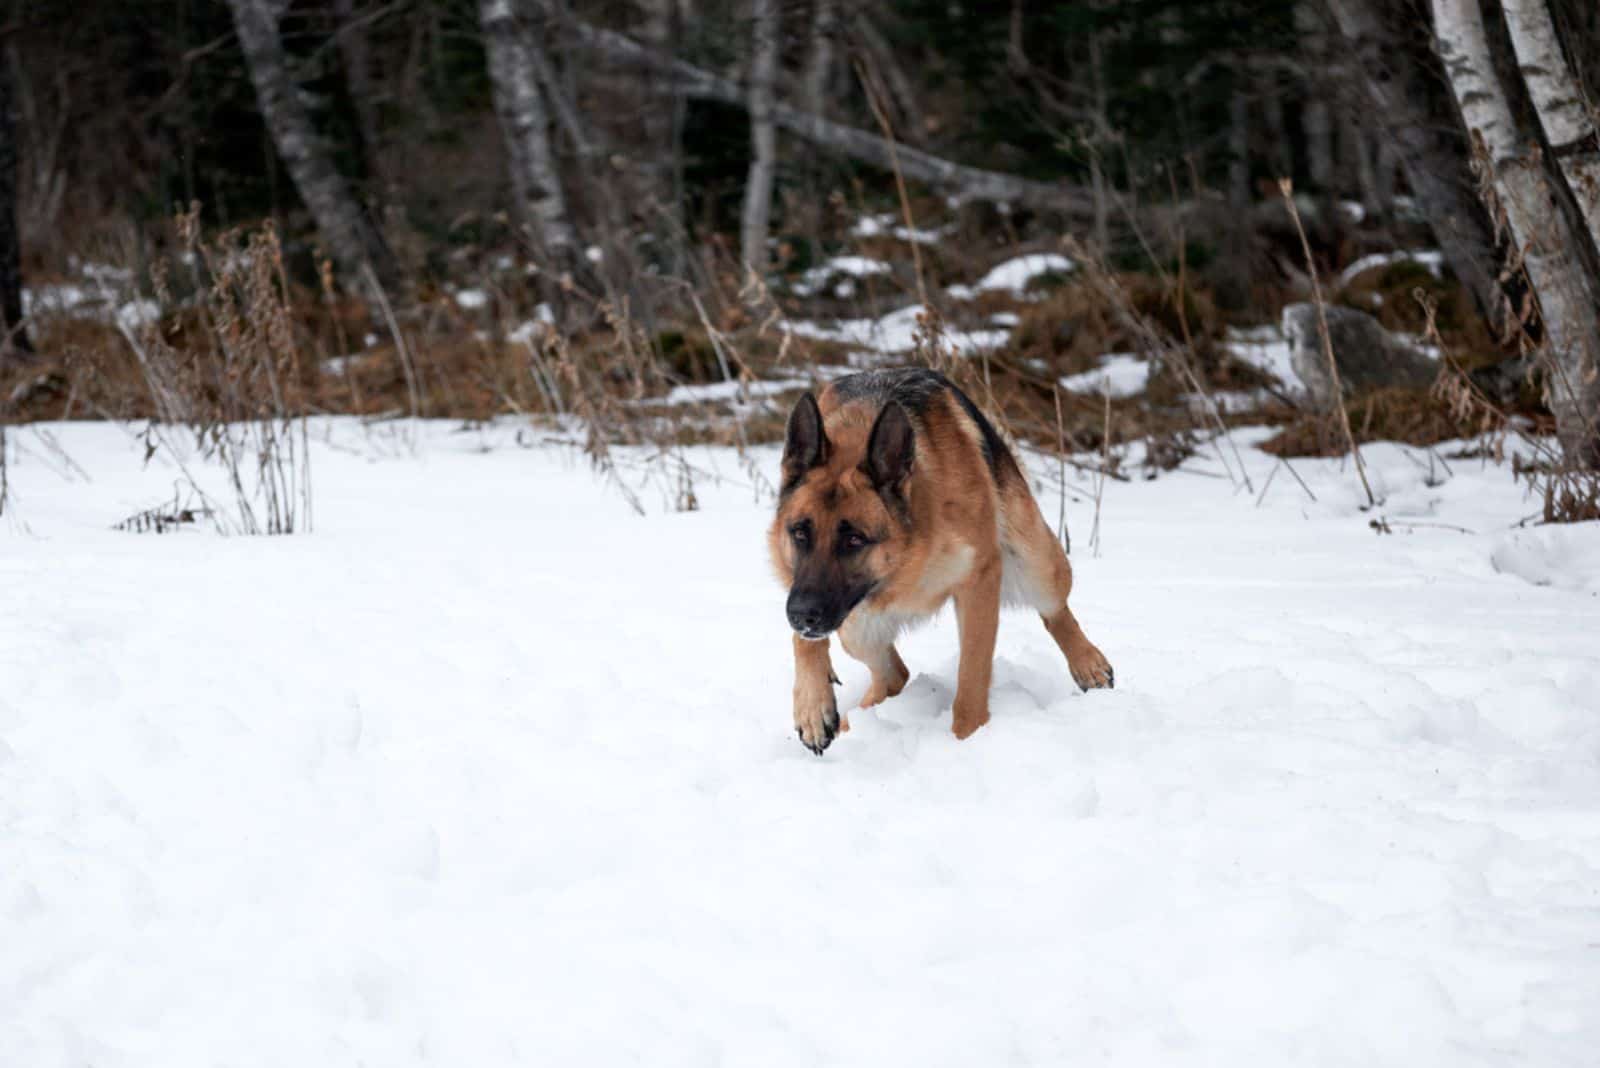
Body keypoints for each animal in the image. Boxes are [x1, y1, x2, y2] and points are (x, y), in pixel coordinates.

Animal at [771, 370, 1113, 754]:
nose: (801, 614)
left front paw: (966, 743)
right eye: (800, 533)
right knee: (895, 674)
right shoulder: (808, 593)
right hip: (855, 626)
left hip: (1035, 564)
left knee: (1055, 611)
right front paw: (813, 708)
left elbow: (971, 680)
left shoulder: (979, 582)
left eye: (854, 539)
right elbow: (803, 642)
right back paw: (853, 722)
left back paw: (1088, 663)